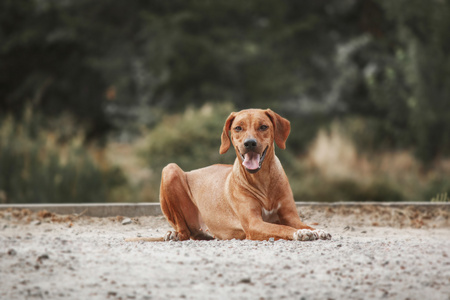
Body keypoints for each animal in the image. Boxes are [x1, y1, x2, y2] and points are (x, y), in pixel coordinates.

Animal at [126, 109, 330, 243]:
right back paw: (175, 234)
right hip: (170, 169)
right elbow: (281, 227)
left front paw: (316, 230)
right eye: (238, 128)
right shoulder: (253, 223)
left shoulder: (291, 216)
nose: (250, 143)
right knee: (184, 230)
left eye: (263, 127)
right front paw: (299, 233)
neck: (262, 180)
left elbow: (302, 224)